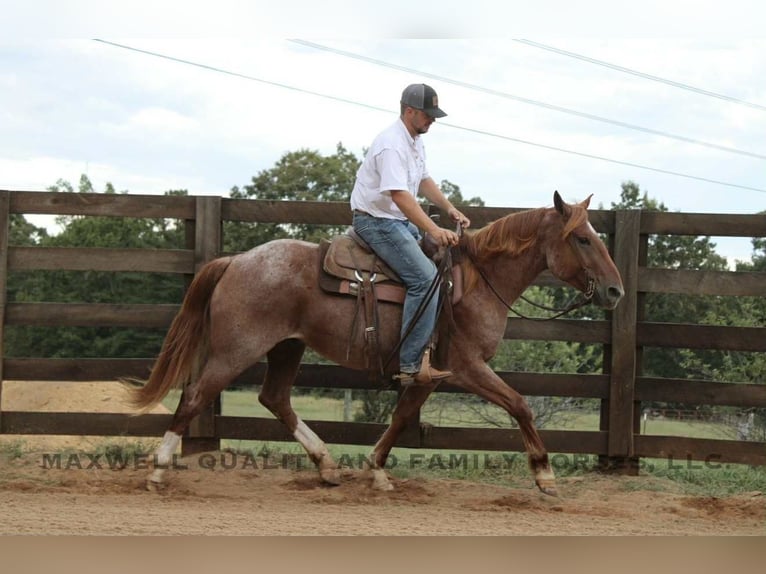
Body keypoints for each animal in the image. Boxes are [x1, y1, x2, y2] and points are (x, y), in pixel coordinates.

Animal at [129, 191, 624, 496]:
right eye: (583, 238)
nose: (616, 291)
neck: (475, 283)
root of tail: (235, 260)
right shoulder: (467, 368)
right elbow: (520, 405)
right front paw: (545, 475)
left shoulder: (430, 376)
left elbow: (402, 416)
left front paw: (377, 471)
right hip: (237, 350)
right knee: (196, 395)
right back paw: (158, 469)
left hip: (286, 347)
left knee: (275, 398)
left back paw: (327, 465)